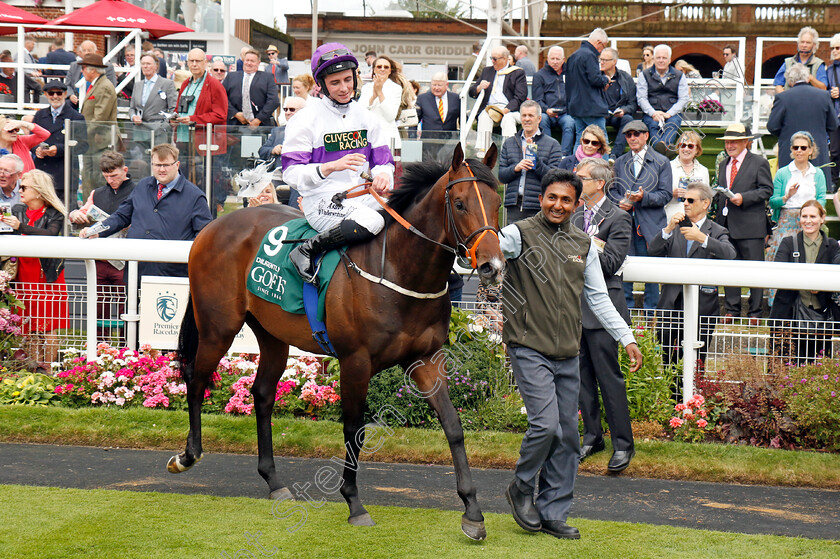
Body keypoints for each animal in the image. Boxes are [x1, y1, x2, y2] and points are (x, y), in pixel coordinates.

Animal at [167, 145, 502, 544]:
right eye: (461, 204)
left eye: (498, 202)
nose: (492, 266)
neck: (399, 270)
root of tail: (214, 225)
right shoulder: (356, 362)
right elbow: (354, 430)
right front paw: (354, 503)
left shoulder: (427, 360)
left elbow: (453, 426)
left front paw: (473, 513)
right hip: (219, 327)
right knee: (196, 380)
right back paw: (188, 456)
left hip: (272, 334)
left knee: (261, 393)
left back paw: (274, 481)